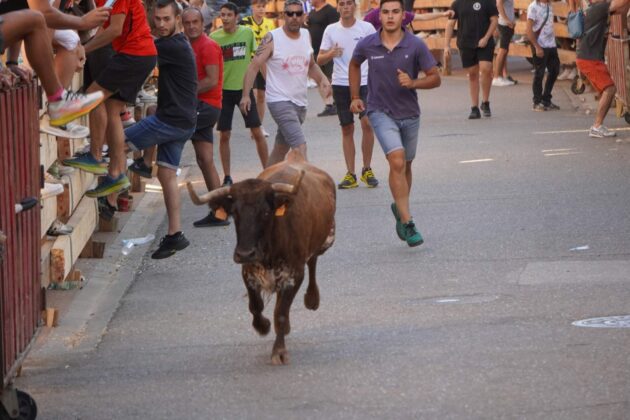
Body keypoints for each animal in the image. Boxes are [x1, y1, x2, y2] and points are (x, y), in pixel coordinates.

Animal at [186, 152, 336, 364]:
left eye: (265, 212)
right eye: (235, 213)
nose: (244, 253)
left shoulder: (294, 274)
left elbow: (281, 313)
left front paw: (279, 351)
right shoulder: (248, 272)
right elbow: (256, 306)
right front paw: (263, 326)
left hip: (324, 241)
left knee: (313, 261)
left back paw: (312, 299)